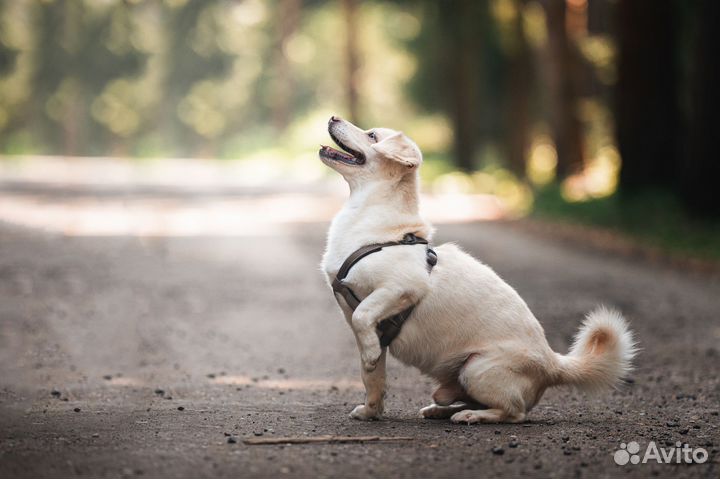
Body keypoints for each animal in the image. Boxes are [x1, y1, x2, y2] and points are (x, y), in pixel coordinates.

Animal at [320, 116, 636, 424]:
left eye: (372, 135)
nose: (333, 116)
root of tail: (553, 363)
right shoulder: (367, 325)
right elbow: (372, 376)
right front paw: (370, 411)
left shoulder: (402, 287)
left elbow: (363, 317)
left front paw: (371, 358)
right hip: (459, 380)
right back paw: (442, 411)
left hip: (478, 368)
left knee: (514, 412)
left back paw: (471, 416)